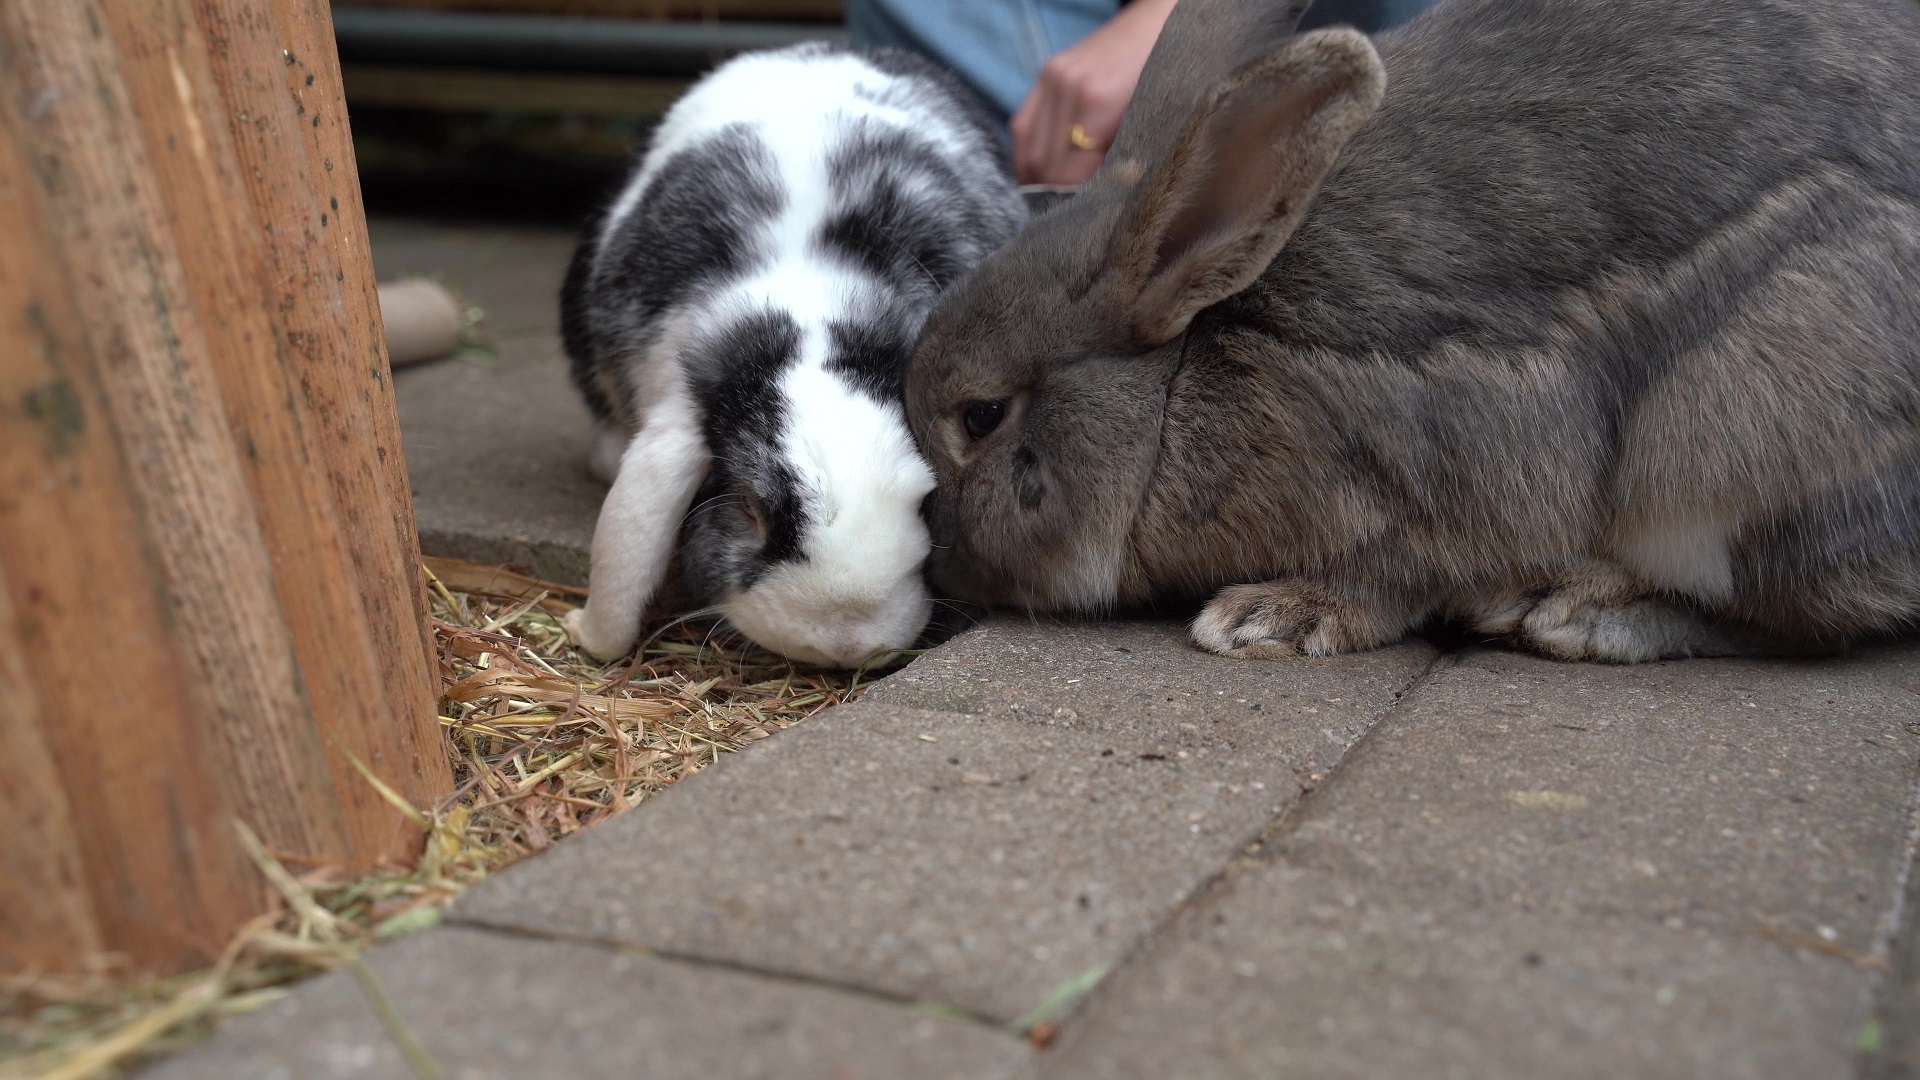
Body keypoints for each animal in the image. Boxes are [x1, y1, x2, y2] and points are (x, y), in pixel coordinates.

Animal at [902, 0, 1920, 657]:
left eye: (981, 415)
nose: (937, 561)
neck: (1179, 376)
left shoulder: (1435, 479)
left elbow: (1393, 579)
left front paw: (1265, 619)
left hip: (1734, 447)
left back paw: (1573, 612)